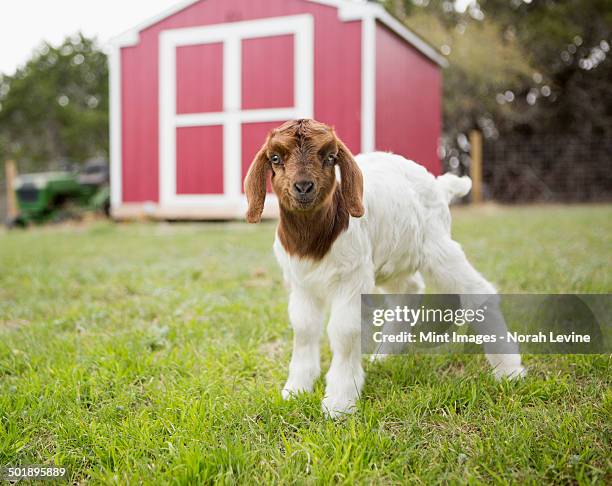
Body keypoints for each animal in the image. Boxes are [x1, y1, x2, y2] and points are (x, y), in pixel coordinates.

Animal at [244, 118, 524, 418]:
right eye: (275, 158)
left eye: (330, 157)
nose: (304, 186)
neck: (313, 239)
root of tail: (439, 185)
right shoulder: (301, 282)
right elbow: (304, 328)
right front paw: (295, 390)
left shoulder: (353, 279)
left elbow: (344, 331)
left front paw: (339, 402)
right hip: (394, 257)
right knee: (409, 289)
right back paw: (384, 355)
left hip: (437, 246)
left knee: (478, 291)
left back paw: (509, 371)